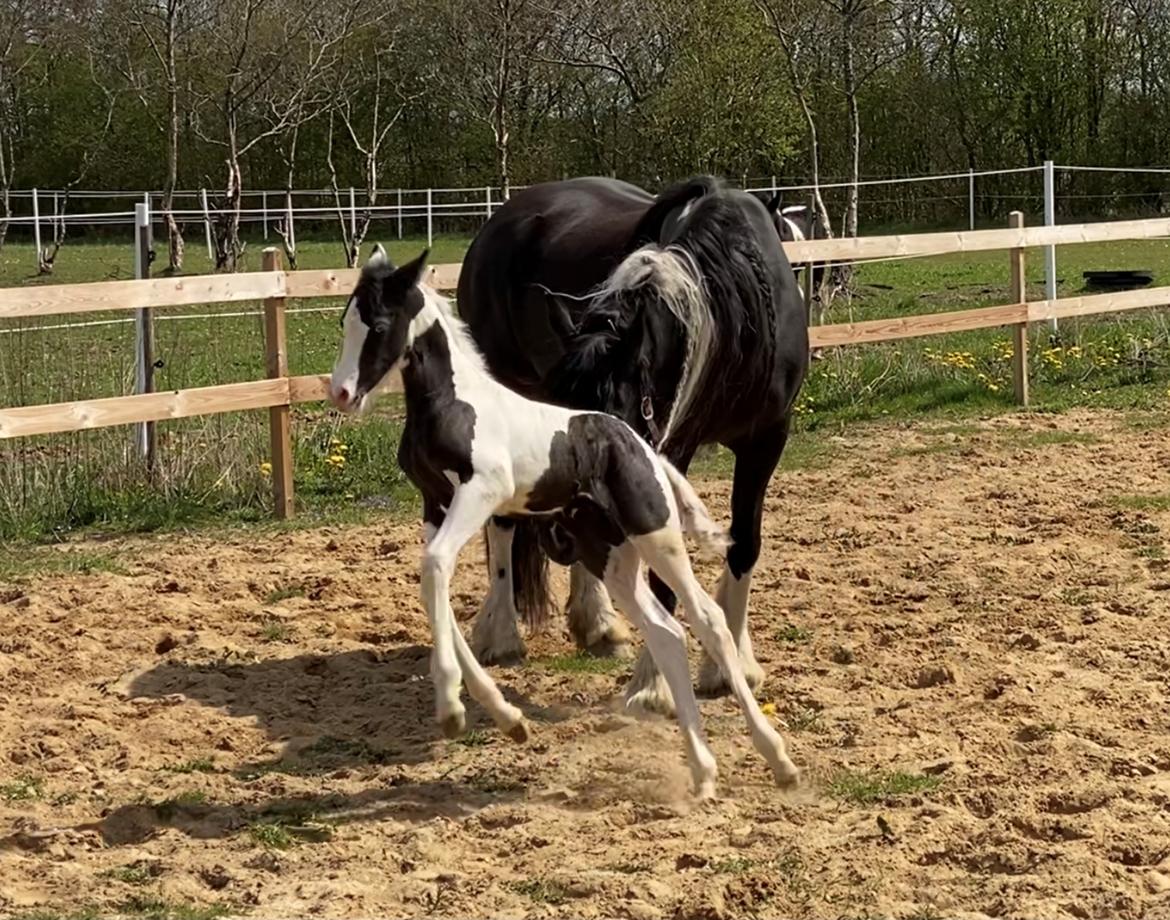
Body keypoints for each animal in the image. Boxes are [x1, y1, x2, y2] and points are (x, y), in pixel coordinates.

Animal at [332, 245, 804, 795]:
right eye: (346, 320)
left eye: (380, 323)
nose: (340, 393)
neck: (456, 402)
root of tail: (643, 446)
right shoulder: (436, 504)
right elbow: (436, 586)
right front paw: (506, 717)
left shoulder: (481, 492)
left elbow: (435, 568)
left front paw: (452, 707)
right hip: (609, 556)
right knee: (666, 631)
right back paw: (703, 771)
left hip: (656, 534)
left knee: (706, 619)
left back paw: (779, 759)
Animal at [460, 175, 809, 711]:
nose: (556, 538)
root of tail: (500, 222)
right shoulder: (671, 451)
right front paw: (655, 684)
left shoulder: (766, 439)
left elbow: (744, 545)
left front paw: (732, 666)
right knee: (502, 522)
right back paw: (500, 635)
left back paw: (597, 624)